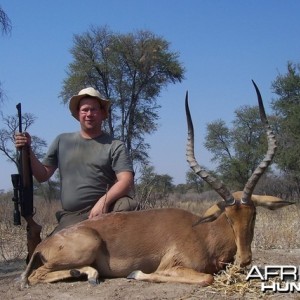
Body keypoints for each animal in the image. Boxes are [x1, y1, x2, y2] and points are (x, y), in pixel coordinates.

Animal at [20, 81, 292, 288]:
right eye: (228, 217)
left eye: (253, 214)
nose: (245, 260)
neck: (204, 233)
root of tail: (44, 243)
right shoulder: (172, 266)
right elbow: (205, 278)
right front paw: (136, 273)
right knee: (34, 276)